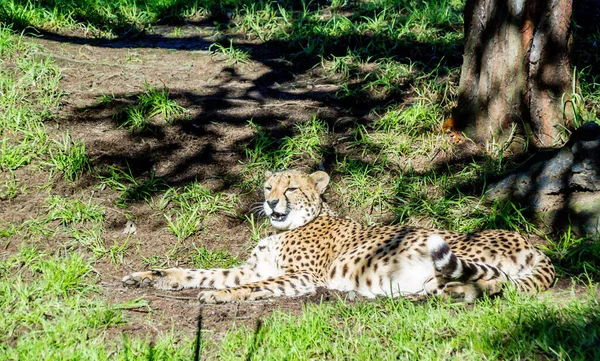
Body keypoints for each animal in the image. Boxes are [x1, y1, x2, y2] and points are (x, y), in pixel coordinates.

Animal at [120, 168, 552, 300]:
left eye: (291, 188)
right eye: (268, 186)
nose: (271, 204)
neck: (285, 228)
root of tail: (526, 240)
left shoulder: (301, 277)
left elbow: (242, 287)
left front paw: (222, 296)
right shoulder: (251, 269)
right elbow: (196, 272)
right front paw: (149, 276)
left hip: (449, 247)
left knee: (498, 283)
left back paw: (460, 290)